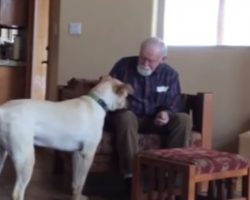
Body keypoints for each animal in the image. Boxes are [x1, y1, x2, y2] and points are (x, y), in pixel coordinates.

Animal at [0, 76, 133, 200]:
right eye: (126, 96)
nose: (130, 105)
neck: (98, 102)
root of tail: (3, 110)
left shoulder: (77, 154)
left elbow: (76, 182)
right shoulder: (87, 154)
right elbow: (81, 182)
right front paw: (78, 197)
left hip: (3, 155)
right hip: (25, 159)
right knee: (17, 192)